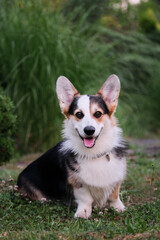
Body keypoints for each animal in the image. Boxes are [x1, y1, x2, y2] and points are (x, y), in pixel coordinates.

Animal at [17, 74, 127, 218]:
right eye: (79, 114)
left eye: (98, 113)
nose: (89, 130)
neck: (94, 153)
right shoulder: (76, 181)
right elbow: (86, 198)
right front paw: (83, 213)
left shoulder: (116, 176)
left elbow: (114, 195)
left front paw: (118, 208)